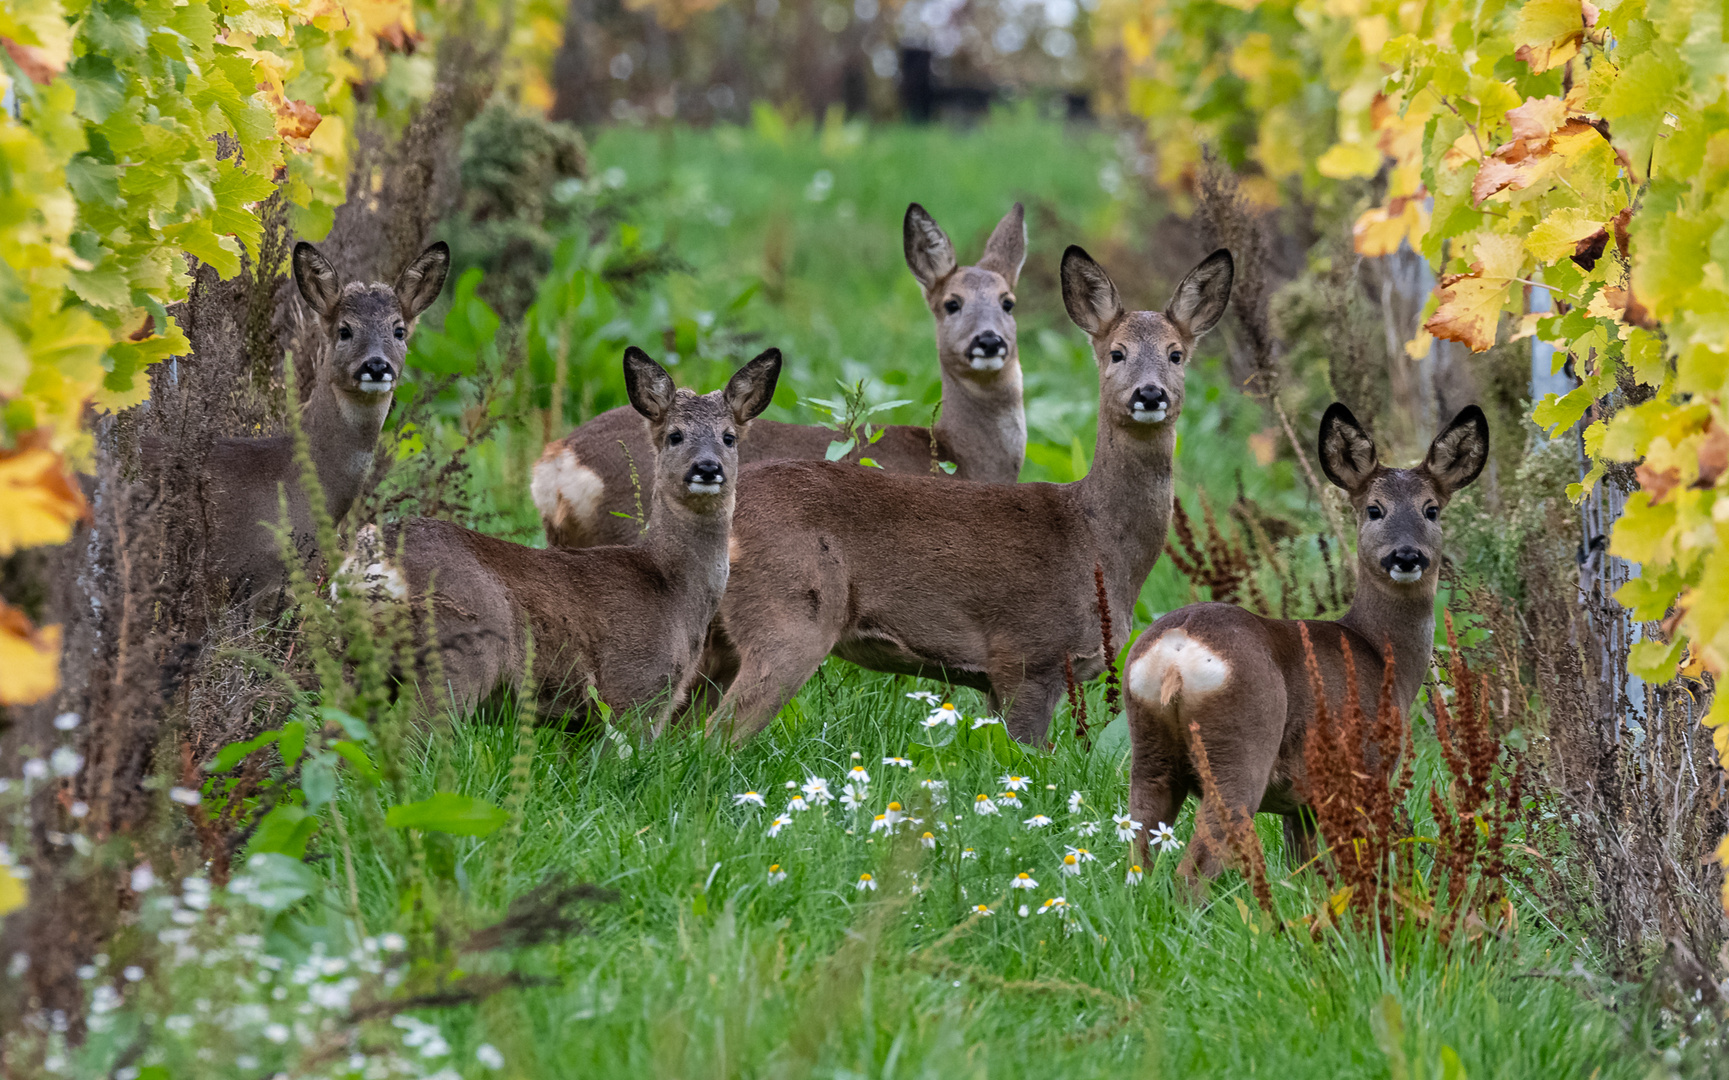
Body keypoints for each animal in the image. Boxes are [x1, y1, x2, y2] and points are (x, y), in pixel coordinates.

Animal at [385, 349, 784, 729]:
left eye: (728, 437)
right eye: (675, 435)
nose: (707, 467)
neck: (673, 589)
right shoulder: (634, 688)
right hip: (458, 654)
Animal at [698, 248, 1231, 746]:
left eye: (1176, 354)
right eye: (1117, 353)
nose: (1150, 394)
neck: (1097, 542)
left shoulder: (1001, 679)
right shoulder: (1028, 655)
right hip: (790, 615)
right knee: (716, 738)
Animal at [1120, 402, 1486, 884]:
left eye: (1431, 510)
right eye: (1374, 509)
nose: (1406, 556)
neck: (1381, 653)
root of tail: (1176, 654)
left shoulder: (1303, 802)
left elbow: (1307, 871)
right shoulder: (1365, 772)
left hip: (1150, 752)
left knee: (1137, 849)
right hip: (1241, 742)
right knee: (1195, 866)